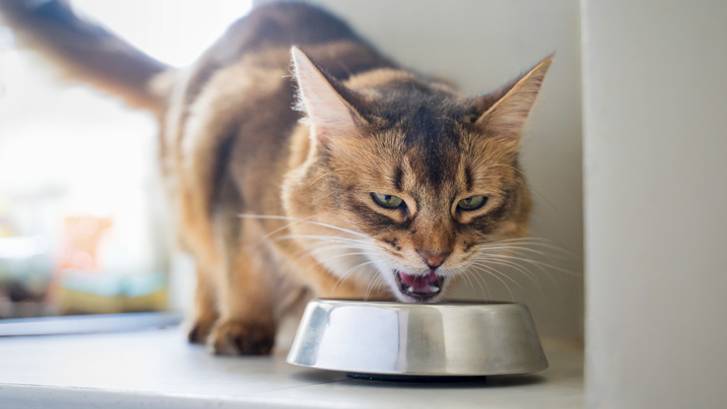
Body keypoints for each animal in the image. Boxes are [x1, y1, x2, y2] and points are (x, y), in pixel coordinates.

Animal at [1, 0, 552, 354]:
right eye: (388, 201)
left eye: (471, 203)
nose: (435, 256)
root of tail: (177, 74)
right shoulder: (234, 194)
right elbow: (241, 267)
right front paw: (243, 328)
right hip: (186, 189)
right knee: (205, 267)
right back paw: (205, 321)